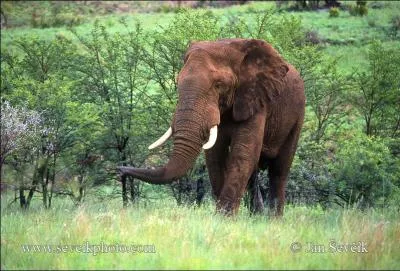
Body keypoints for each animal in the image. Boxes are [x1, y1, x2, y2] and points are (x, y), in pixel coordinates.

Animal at [117, 38, 304, 217]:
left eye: (219, 85)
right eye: (177, 82)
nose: (119, 169)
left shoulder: (255, 99)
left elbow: (243, 153)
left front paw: (224, 218)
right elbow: (215, 156)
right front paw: (221, 216)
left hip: (297, 114)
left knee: (279, 170)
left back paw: (273, 219)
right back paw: (256, 217)